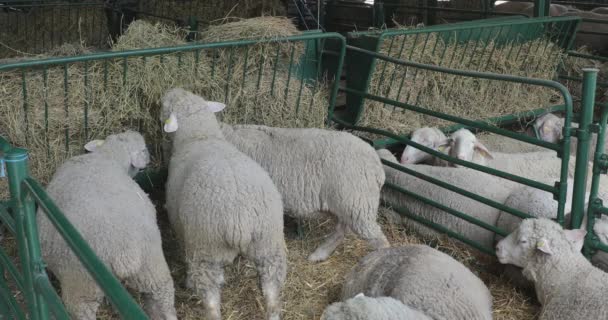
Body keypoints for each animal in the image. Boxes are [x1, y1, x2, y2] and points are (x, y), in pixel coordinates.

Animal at [37, 131, 177, 320]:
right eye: (143, 149)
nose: (150, 159)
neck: (107, 156)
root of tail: (125, 252)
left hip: (82, 283)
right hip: (151, 267)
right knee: (163, 299)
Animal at [160, 88, 286, 320]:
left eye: (166, 105)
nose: (171, 91)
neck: (201, 136)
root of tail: (241, 220)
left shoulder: (183, 231)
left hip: (206, 248)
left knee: (210, 298)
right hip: (268, 244)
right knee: (272, 291)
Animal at [220, 124, 390, 262]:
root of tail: (377, 166)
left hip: (358, 202)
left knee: (376, 237)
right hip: (348, 203)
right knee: (341, 229)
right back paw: (319, 254)